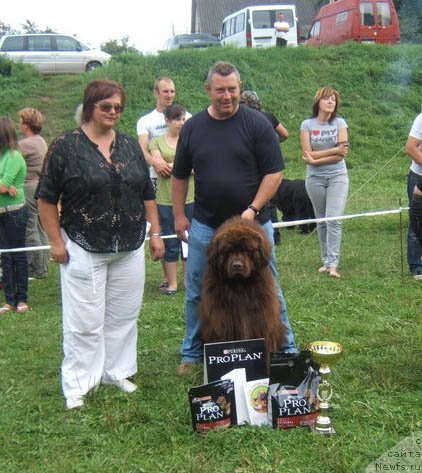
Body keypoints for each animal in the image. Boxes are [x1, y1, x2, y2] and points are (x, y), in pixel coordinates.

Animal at [199, 218, 286, 362]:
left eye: (247, 250)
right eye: (228, 251)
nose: (237, 265)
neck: (240, 286)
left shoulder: (260, 316)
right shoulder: (222, 318)